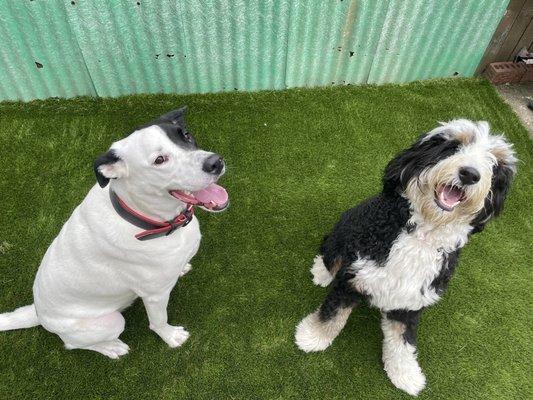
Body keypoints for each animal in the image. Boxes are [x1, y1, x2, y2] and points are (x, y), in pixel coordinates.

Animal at [0, 107, 227, 360]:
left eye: (186, 135)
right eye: (159, 160)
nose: (215, 162)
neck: (145, 218)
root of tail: (38, 313)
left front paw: (182, 268)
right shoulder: (155, 295)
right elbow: (158, 321)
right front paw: (171, 337)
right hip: (111, 322)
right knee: (73, 344)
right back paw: (112, 347)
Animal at [296, 120, 516, 396]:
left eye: (494, 165)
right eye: (452, 146)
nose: (470, 174)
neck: (422, 236)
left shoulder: (410, 302)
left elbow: (402, 342)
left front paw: (406, 374)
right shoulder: (353, 277)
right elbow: (332, 315)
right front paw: (311, 337)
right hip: (344, 228)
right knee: (330, 251)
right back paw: (321, 272)